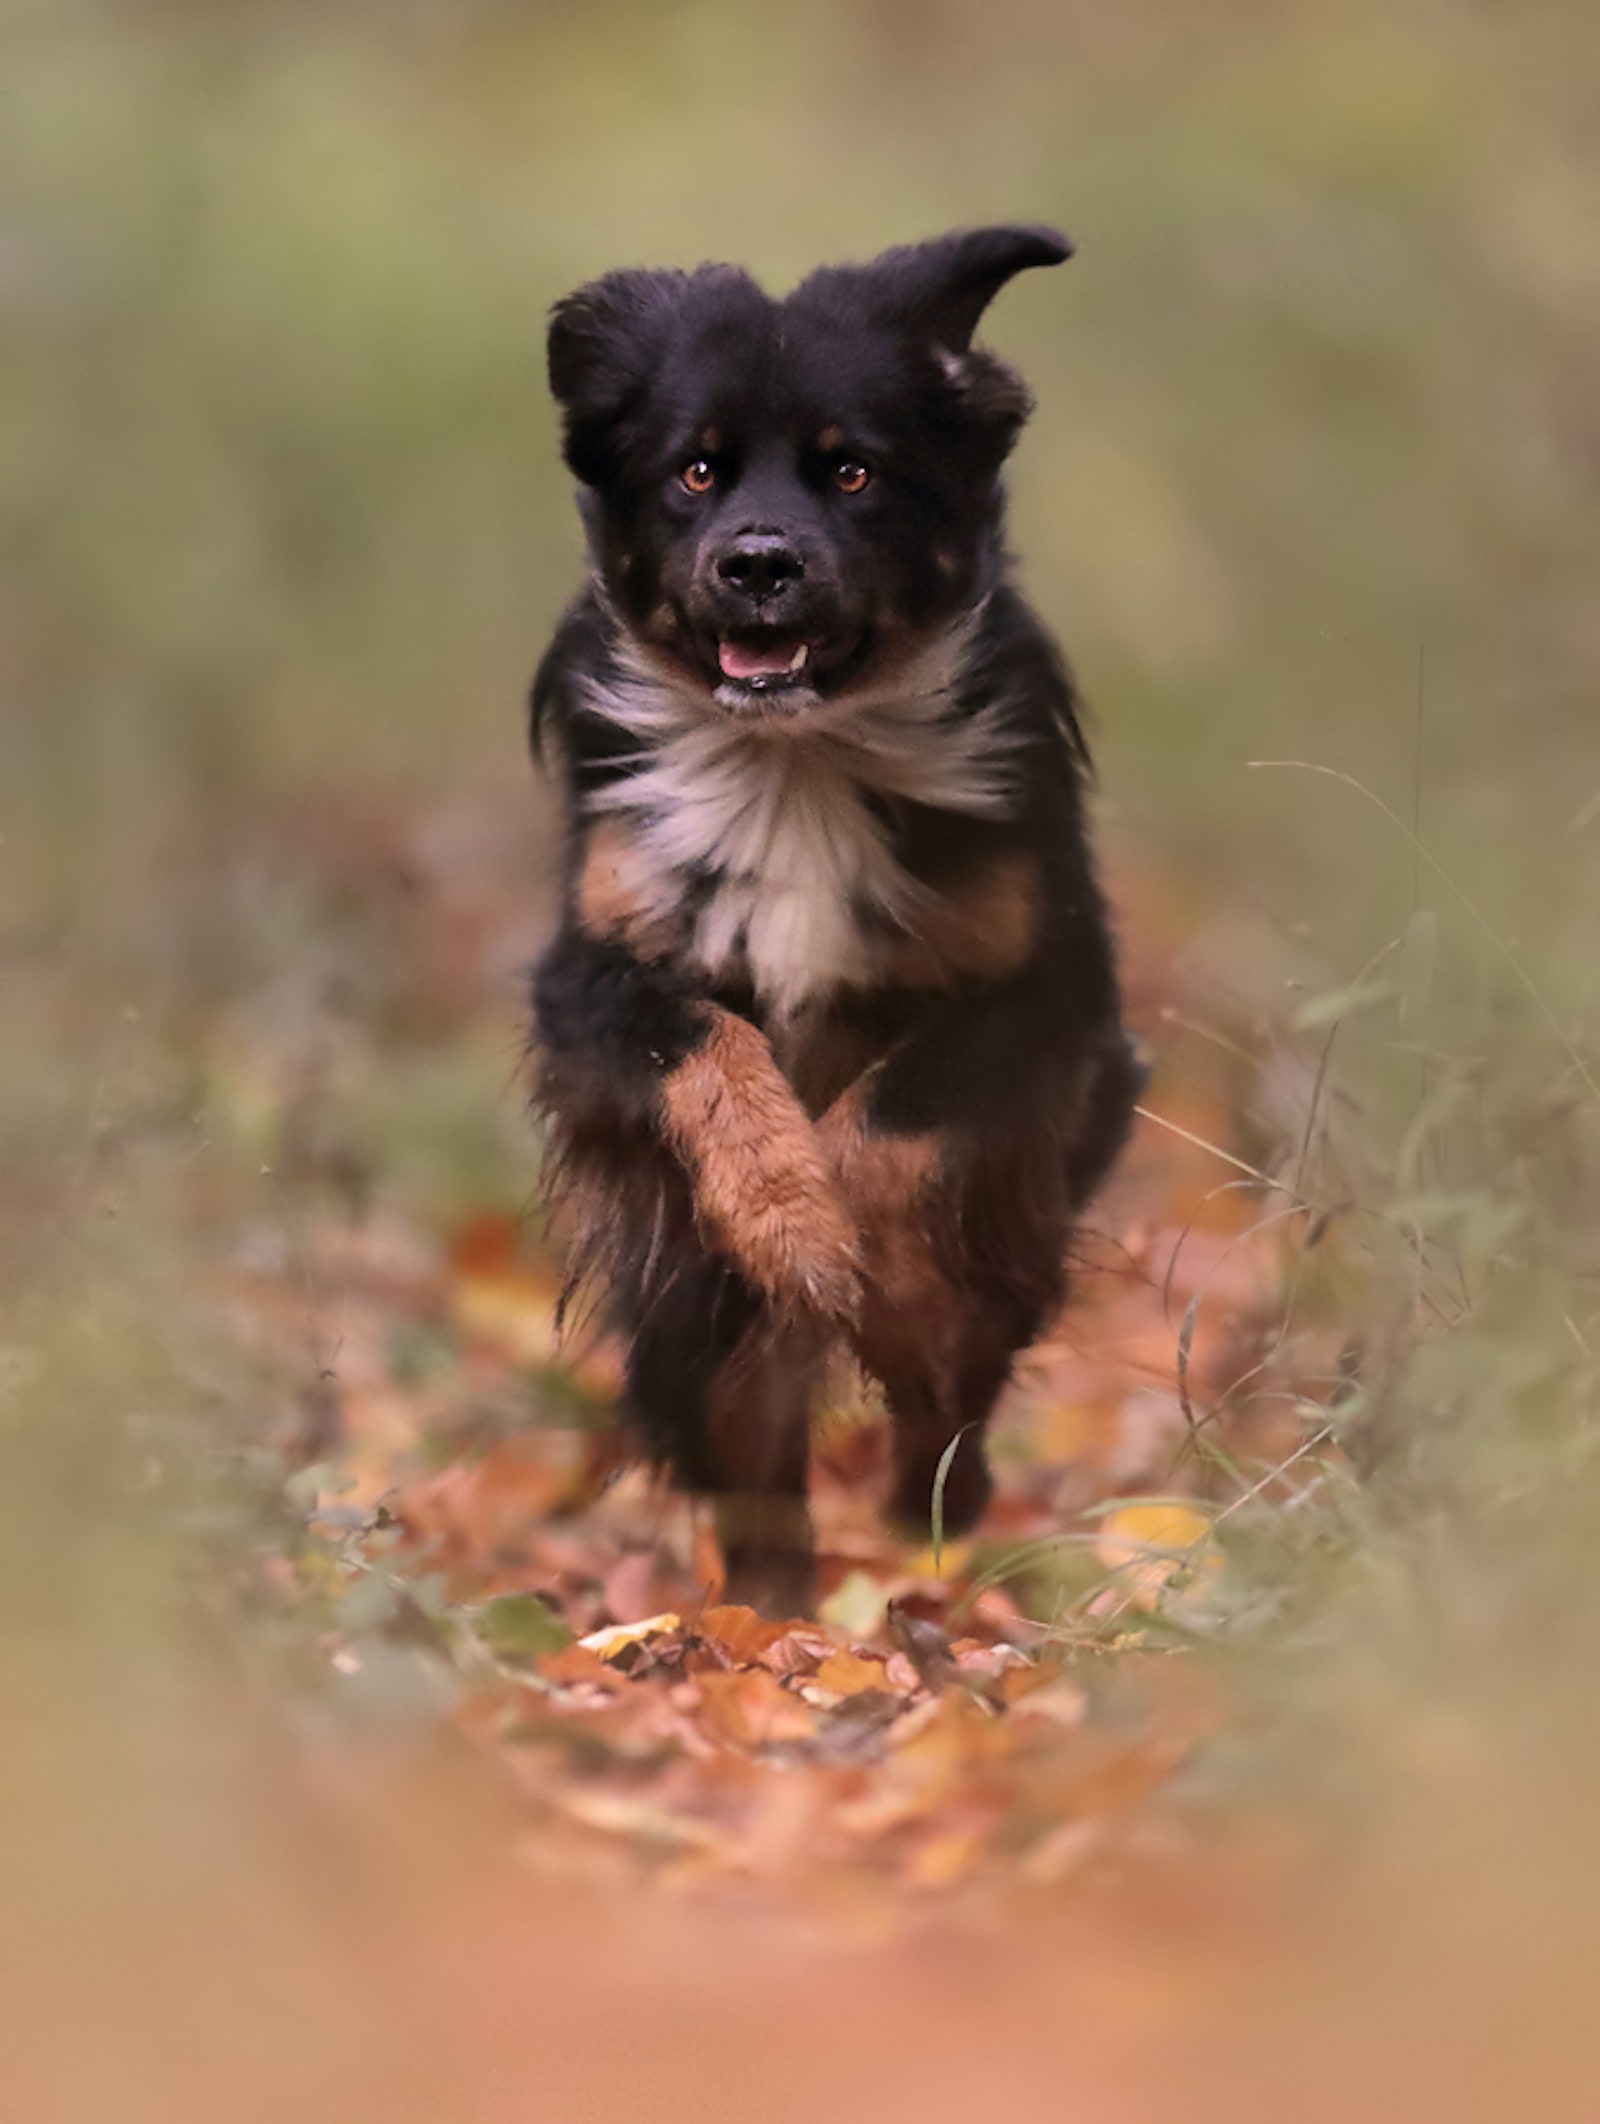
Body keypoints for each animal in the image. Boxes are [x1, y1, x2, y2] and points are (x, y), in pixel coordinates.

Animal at [524, 224, 1138, 1614]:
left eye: (853, 470)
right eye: (695, 470)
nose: (759, 562)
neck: (794, 761)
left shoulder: (1047, 987)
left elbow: (896, 1114)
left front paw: (856, 1256)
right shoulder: (589, 971)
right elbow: (708, 1042)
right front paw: (788, 1216)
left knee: (950, 1410)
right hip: (692, 1312)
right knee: (748, 1458)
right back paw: (770, 1624)